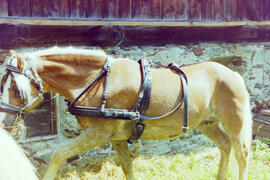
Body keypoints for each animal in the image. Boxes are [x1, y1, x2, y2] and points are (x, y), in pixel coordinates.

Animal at [0, 47, 253, 179]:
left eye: (16, 88)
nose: (3, 120)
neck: (99, 82)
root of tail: (233, 74)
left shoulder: (97, 135)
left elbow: (57, 155)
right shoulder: (117, 139)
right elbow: (127, 168)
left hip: (235, 122)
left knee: (241, 153)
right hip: (207, 123)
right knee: (225, 146)